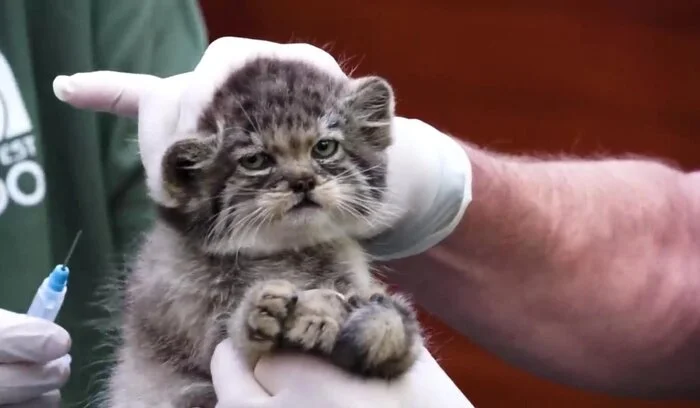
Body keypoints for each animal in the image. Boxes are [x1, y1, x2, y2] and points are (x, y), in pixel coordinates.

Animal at [104, 55, 422, 406]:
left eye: (324, 148)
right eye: (255, 160)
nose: (303, 181)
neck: (287, 252)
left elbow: (399, 326)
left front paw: (377, 325)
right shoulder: (194, 321)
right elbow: (229, 342)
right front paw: (268, 313)